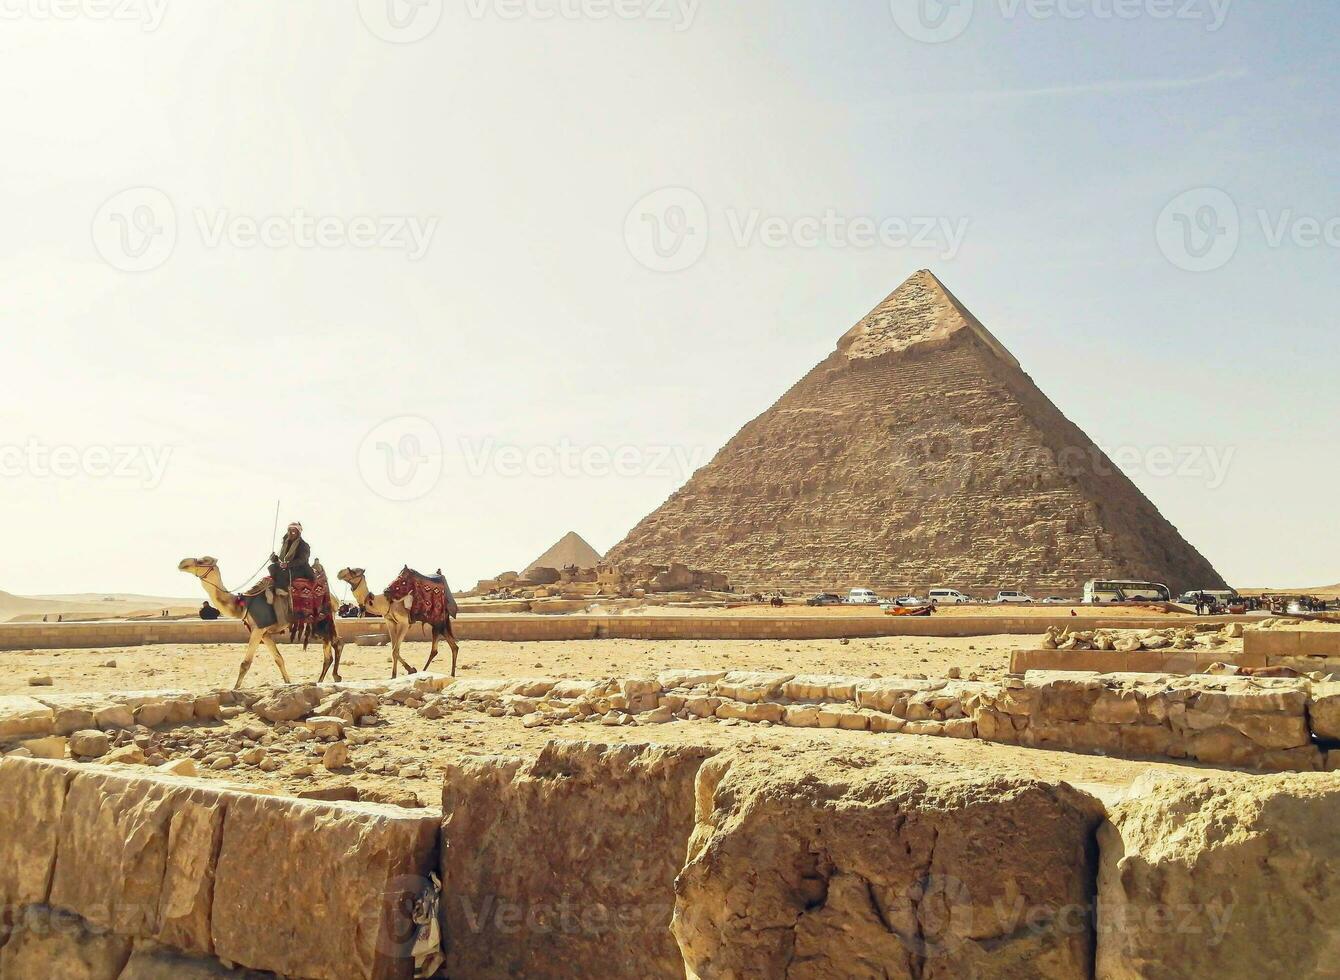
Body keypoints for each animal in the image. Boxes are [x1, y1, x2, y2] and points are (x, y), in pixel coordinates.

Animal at [176, 560, 345, 691]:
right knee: (330, 650)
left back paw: (335, 677)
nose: (182, 563)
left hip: (324, 620)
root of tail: (335, 599)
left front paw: (235, 689)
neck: (243, 604)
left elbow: (245, 663)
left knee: (337, 643)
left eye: (202, 561)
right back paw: (322, 680)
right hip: (321, 624)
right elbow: (278, 658)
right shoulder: (265, 633)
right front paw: (288, 683)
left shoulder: (258, 629)